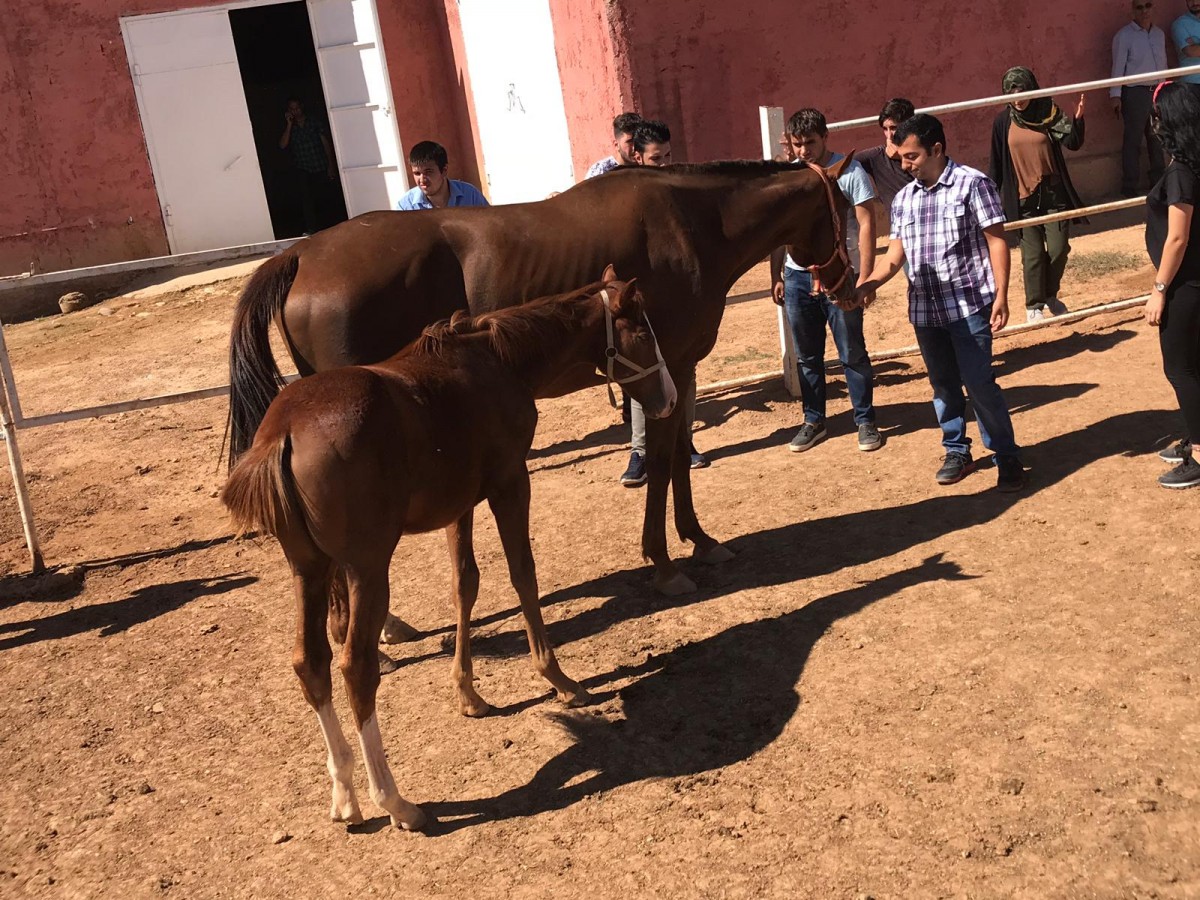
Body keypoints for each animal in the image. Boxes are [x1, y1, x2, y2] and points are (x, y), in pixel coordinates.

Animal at [220, 274, 676, 830]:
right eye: (644, 332)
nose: (669, 399)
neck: (497, 362)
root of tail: (283, 432)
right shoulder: (509, 483)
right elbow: (523, 573)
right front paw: (557, 677)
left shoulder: (460, 504)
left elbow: (465, 583)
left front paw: (468, 692)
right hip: (366, 568)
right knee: (356, 669)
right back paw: (395, 801)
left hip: (308, 570)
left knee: (312, 664)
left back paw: (345, 796)